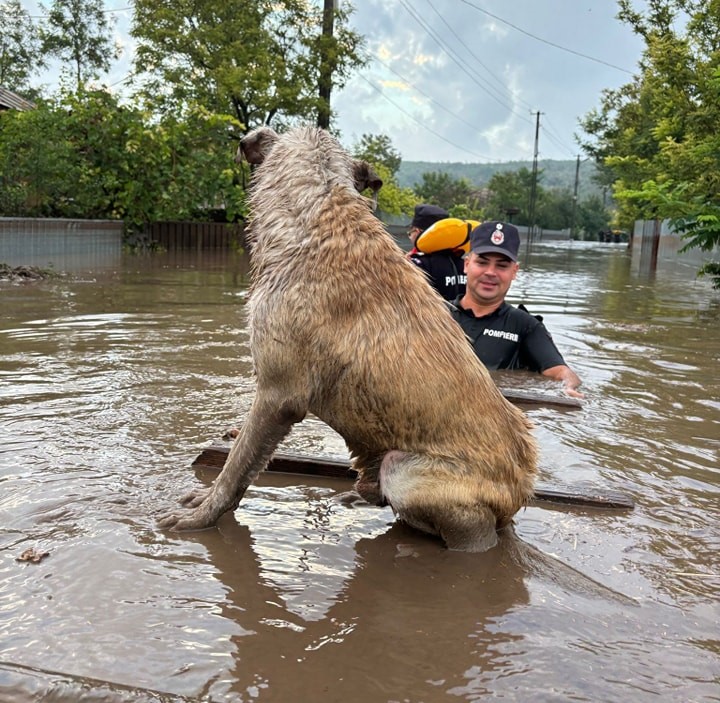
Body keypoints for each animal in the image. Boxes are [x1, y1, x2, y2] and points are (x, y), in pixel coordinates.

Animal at [159, 128, 540, 556]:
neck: (319, 212)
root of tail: (521, 491)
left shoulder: (278, 395)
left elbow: (236, 468)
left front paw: (201, 516)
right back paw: (356, 497)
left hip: (406, 471)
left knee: (471, 530)